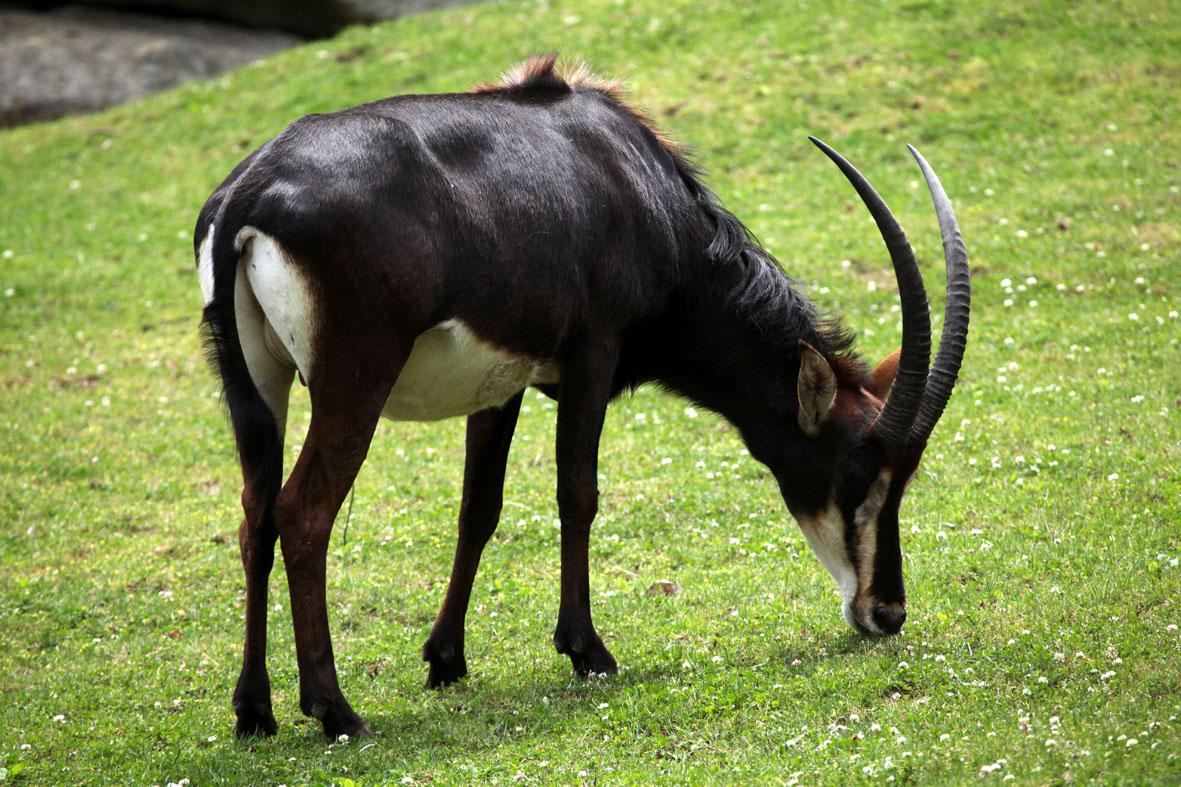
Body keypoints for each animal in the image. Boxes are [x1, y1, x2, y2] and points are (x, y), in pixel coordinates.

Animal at [196, 55, 968, 737]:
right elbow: (578, 492)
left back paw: (254, 710)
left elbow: (478, 509)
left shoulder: (498, 385)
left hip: (255, 390)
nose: (886, 613)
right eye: (858, 476)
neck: (634, 182)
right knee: (303, 514)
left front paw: (445, 659)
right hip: (353, 383)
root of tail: (251, 193)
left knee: (255, 517)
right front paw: (587, 649)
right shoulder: (591, 356)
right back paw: (335, 711)